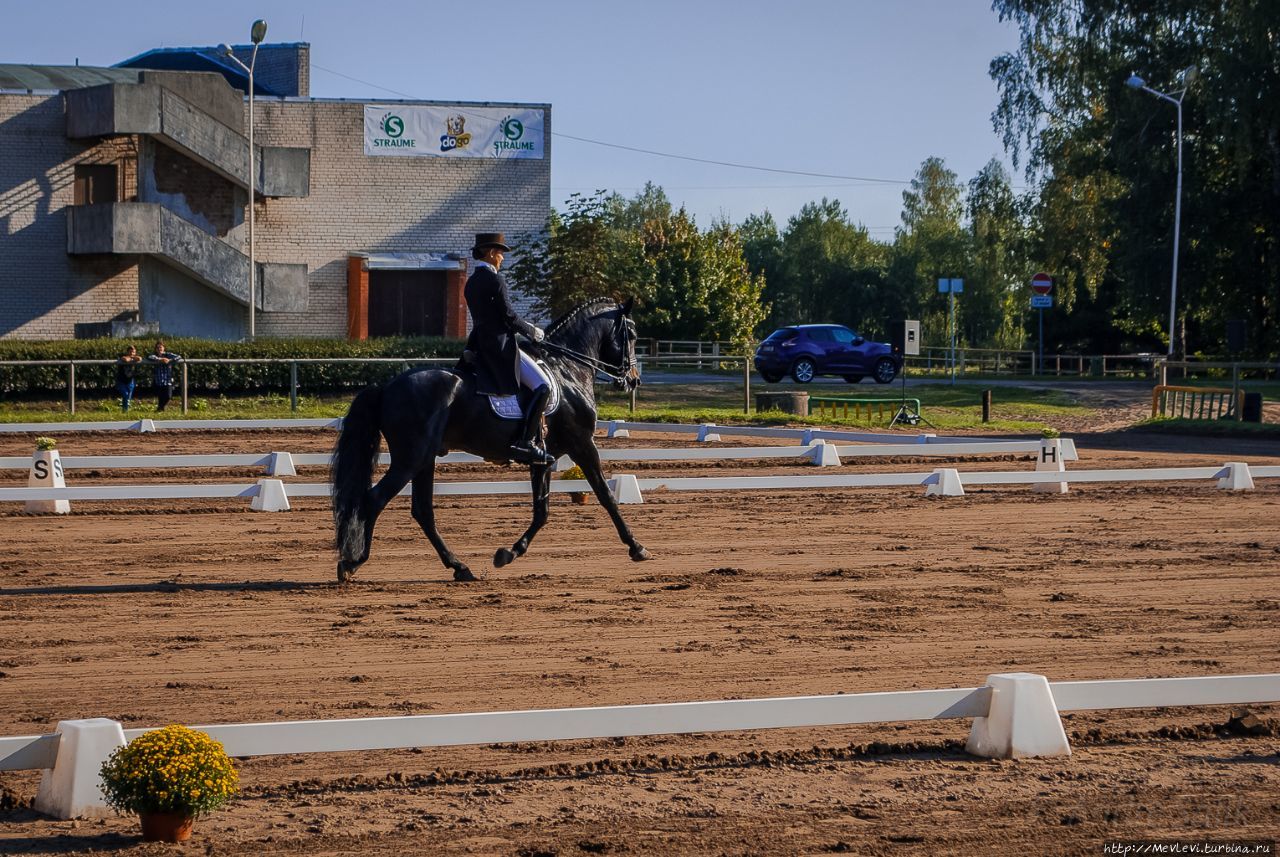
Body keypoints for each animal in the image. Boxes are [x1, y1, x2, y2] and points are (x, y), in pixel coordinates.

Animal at [332, 296, 650, 583]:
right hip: (411, 458)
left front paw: (508, 553)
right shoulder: (582, 445)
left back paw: (459, 567)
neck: (567, 370)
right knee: (375, 499)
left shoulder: (544, 457)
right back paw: (352, 563)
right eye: (632, 335)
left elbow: (542, 511)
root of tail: (385, 387)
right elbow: (606, 496)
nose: (633, 379)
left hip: (425, 459)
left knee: (422, 510)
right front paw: (637, 547)